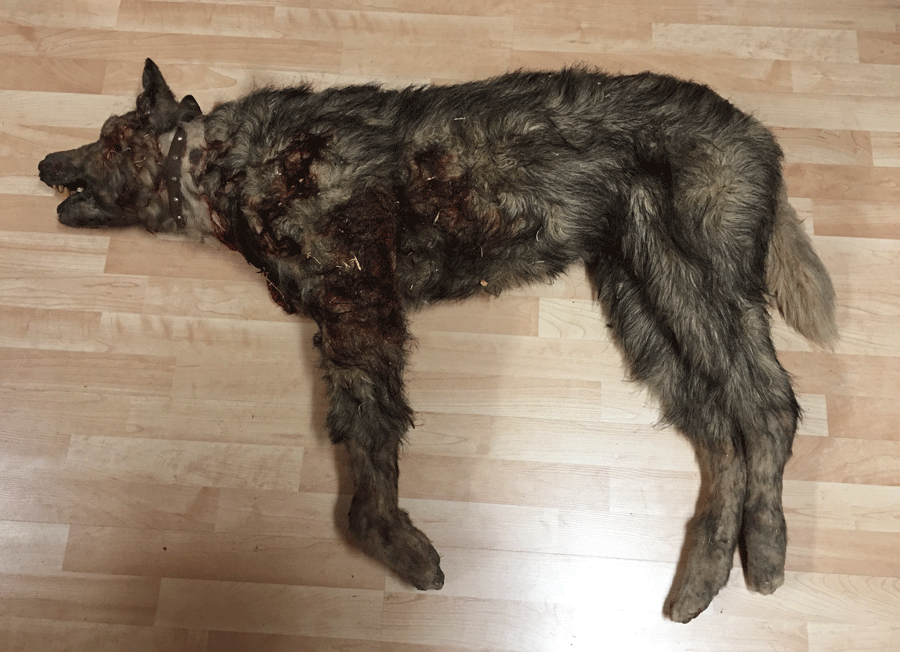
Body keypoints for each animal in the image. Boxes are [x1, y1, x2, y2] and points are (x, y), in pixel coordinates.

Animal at [39, 59, 836, 622]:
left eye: (107, 137)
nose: (45, 164)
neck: (213, 162)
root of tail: (757, 131)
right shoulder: (351, 313)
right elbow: (367, 443)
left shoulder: (360, 302)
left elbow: (368, 455)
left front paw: (398, 545)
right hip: (643, 294)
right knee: (721, 428)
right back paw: (705, 572)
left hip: (692, 273)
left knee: (766, 406)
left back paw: (765, 546)